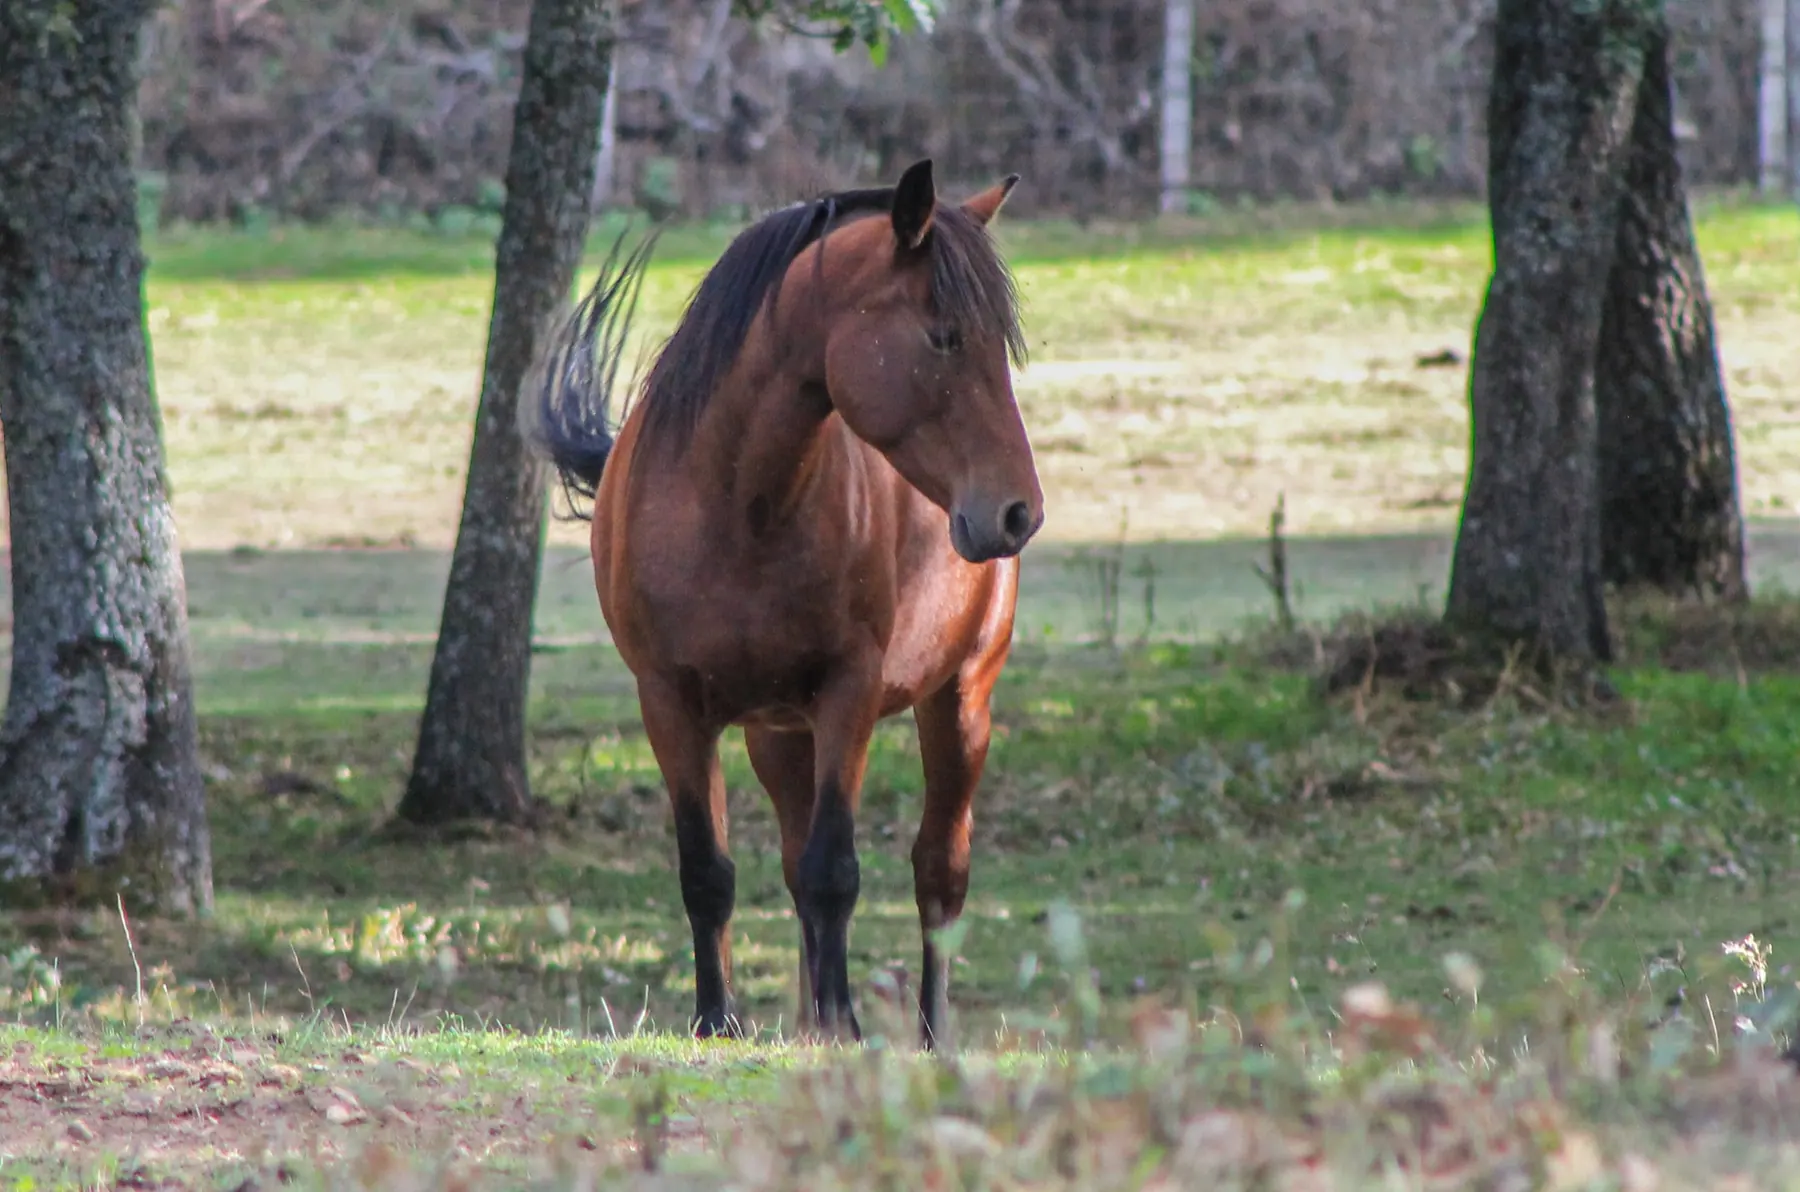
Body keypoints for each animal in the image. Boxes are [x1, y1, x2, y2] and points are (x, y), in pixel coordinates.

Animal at [530, 159, 1042, 1049]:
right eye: (945, 335)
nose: (1018, 512)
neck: (736, 504)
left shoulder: (848, 693)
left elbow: (835, 869)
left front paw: (843, 1024)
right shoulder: (670, 703)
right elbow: (711, 869)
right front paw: (716, 1019)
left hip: (960, 700)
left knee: (938, 872)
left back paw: (926, 1033)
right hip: (778, 736)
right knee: (797, 861)